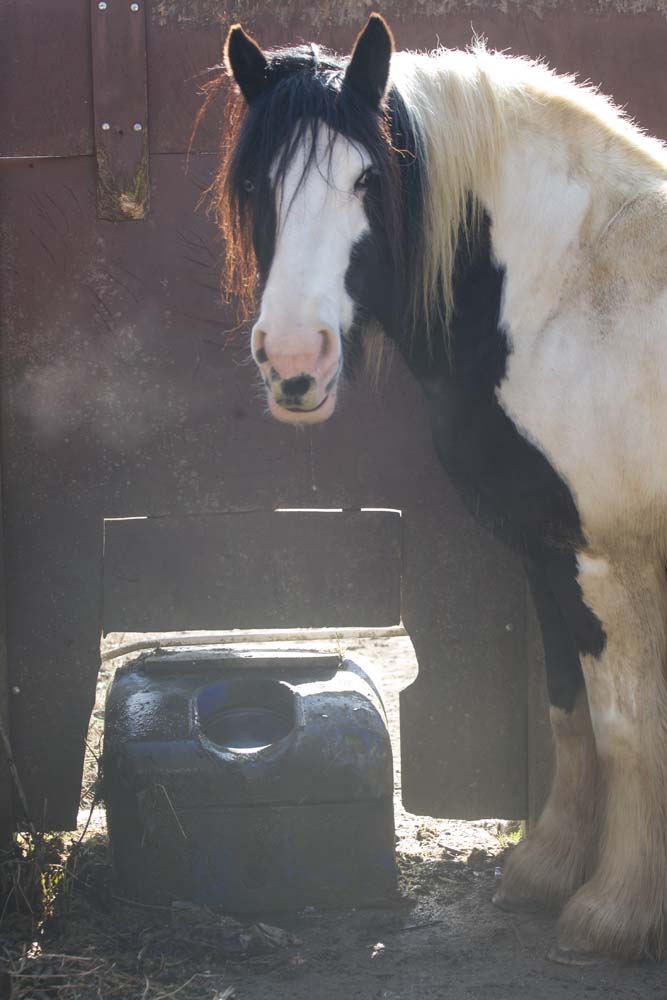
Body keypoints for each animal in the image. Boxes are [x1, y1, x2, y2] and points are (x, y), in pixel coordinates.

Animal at [211, 14, 667, 962]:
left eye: (367, 179)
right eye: (258, 182)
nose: (295, 360)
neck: (574, 291)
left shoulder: (609, 562)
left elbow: (630, 728)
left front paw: (613, 913)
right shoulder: (546, 553)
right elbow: (568, 710)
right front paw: (546, 870)